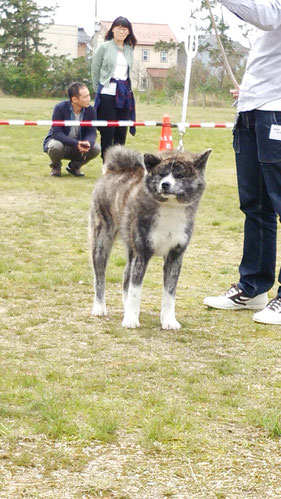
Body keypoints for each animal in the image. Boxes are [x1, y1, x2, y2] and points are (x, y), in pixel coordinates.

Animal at [89, 146, 210, 328]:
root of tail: (113, 171)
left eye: (180, 175)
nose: (165, 184)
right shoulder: (142, 254)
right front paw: (131, 320)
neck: (170, 208)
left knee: (126, 275)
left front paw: (168, 320)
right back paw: (99, 307)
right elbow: (135, 290)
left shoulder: (175, 256)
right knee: (100, 276)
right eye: (162, 174)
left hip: (131, 249)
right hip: (102, 240)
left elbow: (169, 293)